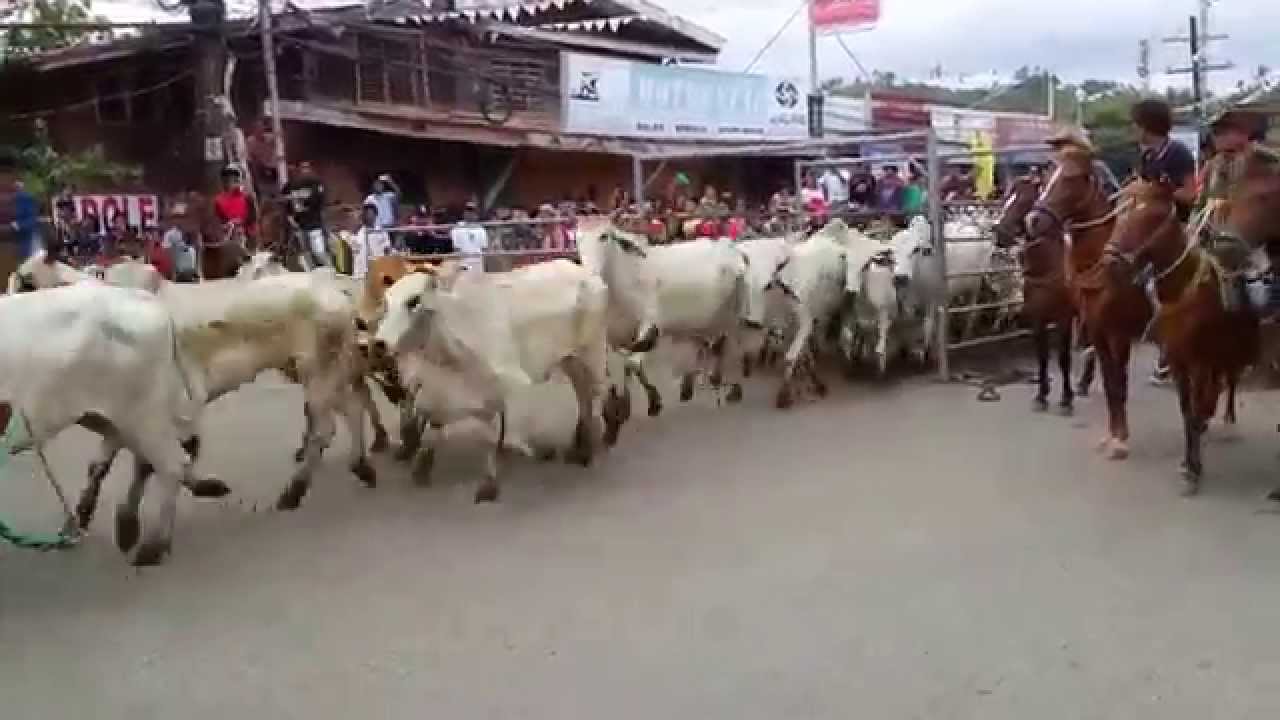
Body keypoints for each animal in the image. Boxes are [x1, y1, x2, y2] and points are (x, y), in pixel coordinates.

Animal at [0, 283, 208, 565]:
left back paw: (152, 547)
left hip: (142, 416)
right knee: (135, 458)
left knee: (171, 465)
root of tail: (145, 298)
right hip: (106, 417)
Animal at [373, 259, 609, 502]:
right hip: (569, 358)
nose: (379, 343)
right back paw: (578, 445)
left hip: (593, 353)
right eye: (386, 301)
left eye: (414, 300)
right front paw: (421, 467)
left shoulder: (500, 387)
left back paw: (590, 448)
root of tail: (582, 270)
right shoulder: (438, 392)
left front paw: (489, 483)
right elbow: (432, 425)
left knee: (596, 394)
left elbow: (491, 436)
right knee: (582, 394)